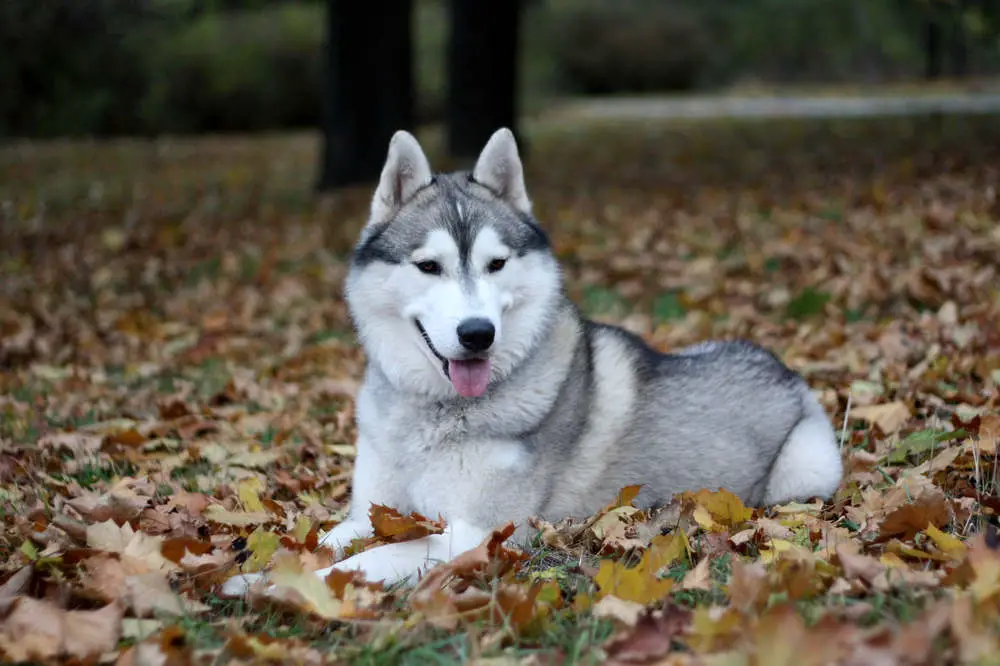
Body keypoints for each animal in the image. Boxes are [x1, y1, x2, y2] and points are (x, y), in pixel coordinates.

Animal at [221, 128, 844, 592]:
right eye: (428, 266)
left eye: (496, 264)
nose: (477, 334)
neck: (435, 415)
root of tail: (781, 367)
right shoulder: (368, 510)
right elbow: (327, 536)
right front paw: (250, 563)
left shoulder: (478, 534)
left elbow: (371, 558)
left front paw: (276, 585)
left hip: (804, 470)